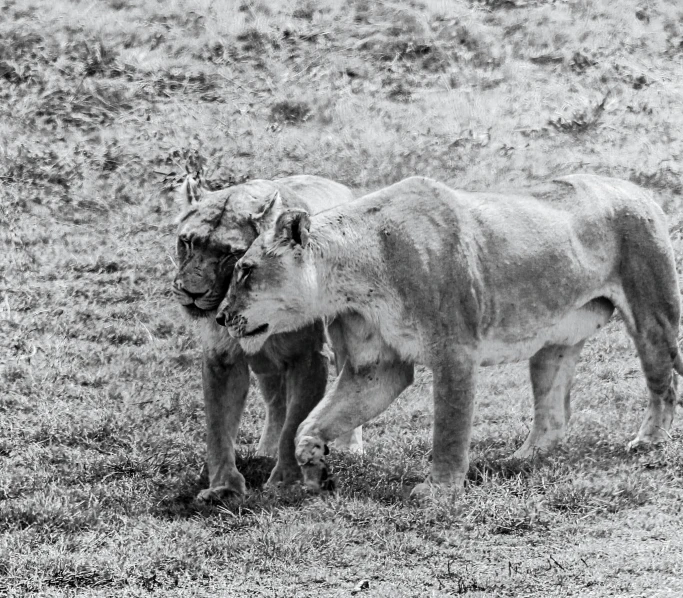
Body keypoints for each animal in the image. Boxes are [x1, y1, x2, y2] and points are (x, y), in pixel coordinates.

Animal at [174, 175, 360, 502]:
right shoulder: (221, 359)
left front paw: (287, 480)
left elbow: (295, 422)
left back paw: (351, 448)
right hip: (266, 365)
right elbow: (219, 426)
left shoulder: (308, 357)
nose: (192, 292)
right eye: (187, 241)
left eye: (230, 253)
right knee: (276, 403)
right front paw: (223, 486)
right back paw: (265, 452)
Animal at [219, 176, 683, 500]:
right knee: (554, 413)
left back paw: (648, 441)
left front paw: (439, 491)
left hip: (651, 314)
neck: (353, 278)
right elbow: (315, 421)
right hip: (554, 344)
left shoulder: (454, 351)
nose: (222, 316)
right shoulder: (376, 367)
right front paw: (313, 465)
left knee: (665, 384)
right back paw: (520, 460)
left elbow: (449, 426)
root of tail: (638, 189)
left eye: (245, 270)